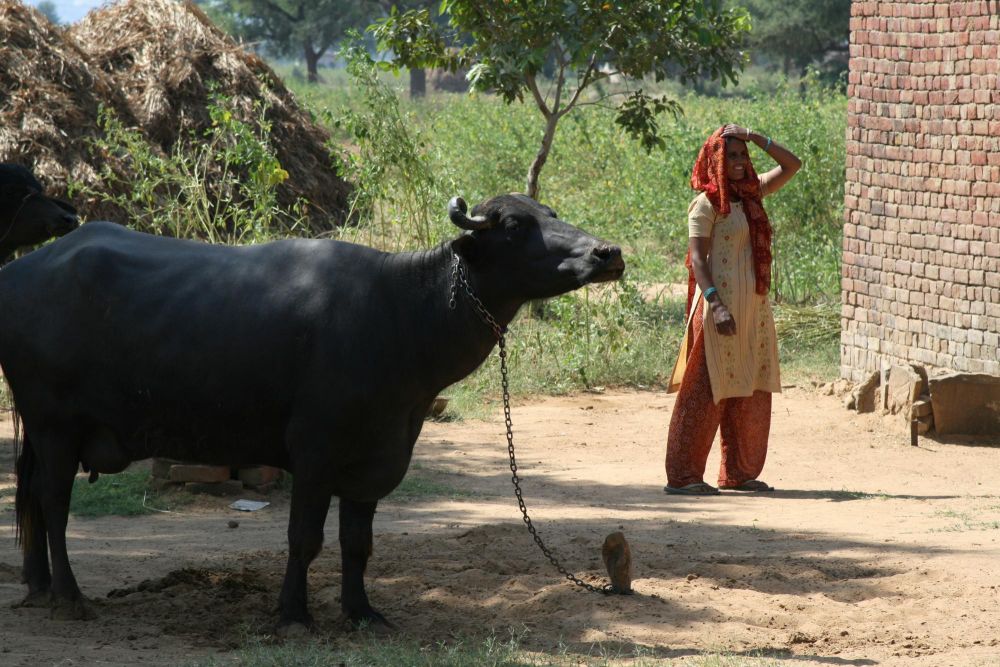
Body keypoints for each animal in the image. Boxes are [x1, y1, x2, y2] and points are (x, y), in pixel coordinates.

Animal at [1, 193, 624, 632]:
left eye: (551, 214)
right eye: (516, 226)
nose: (608, 253)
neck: (401, 311)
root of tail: (20, 272)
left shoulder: (376, 456)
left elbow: (357, 543)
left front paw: (361, 611)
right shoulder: (315, 452)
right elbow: (304, 538)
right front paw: (294, 614)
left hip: (41, 430)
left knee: (32, 495)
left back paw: (38, 589)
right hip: (55, 426)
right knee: (54, 504)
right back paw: (69, 597)